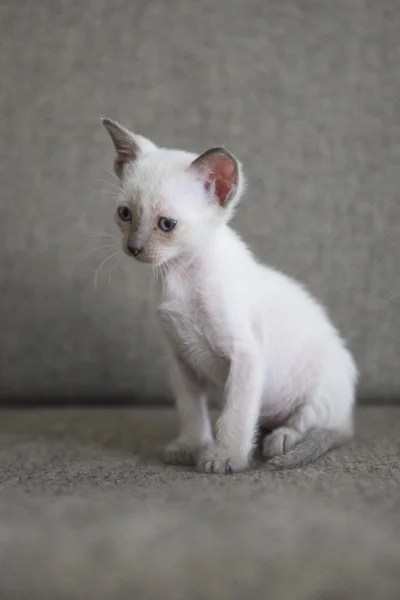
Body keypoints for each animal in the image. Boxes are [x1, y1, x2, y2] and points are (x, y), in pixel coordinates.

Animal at [102, 117, 356, 474]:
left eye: (166, 224)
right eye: (125, 214)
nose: (133, 247)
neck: (177, 276)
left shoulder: (246, 357)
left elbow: (235, 415)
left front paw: (227, 458)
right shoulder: (181, 360)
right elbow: (191, 412)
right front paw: (192, 447)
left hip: (319, 388)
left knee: (315, 424)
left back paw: (280, 440)